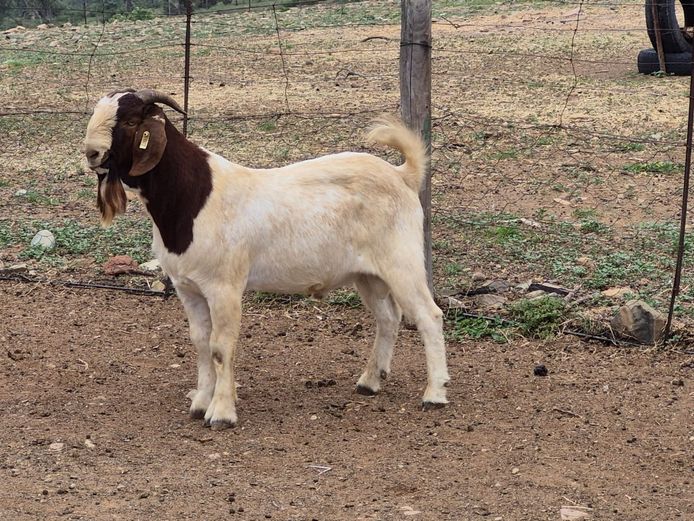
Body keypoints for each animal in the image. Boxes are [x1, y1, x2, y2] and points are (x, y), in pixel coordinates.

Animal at [83, 89, 450, 429]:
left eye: (131, 121)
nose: (91, 153)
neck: (194, 197)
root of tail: (403, 175)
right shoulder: (188, 288)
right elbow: (201, 343)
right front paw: (200, 402)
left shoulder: (225, 287)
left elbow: (220, 346)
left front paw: (222, 413)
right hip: (368, 275)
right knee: (388, 318)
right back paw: (370, 382)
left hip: (402, 261)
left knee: (429, 315)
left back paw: (434, 395)